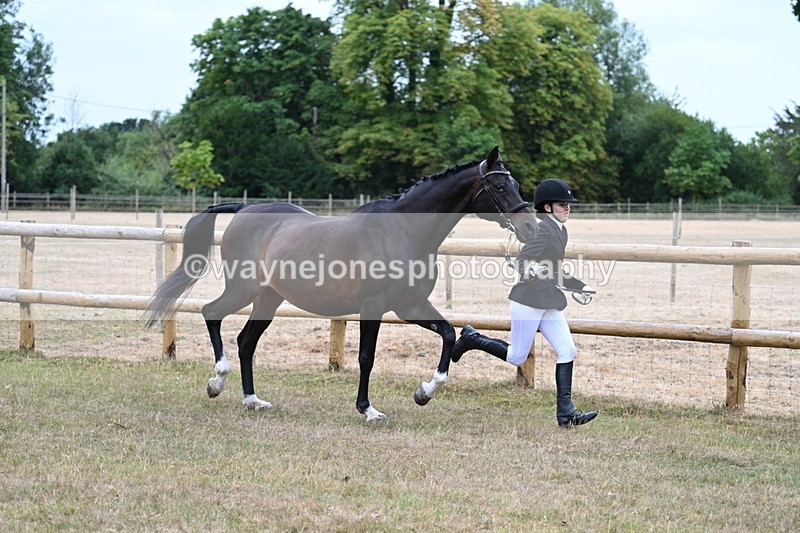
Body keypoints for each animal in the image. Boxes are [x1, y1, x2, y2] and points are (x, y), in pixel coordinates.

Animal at [144, 146, 537, 423]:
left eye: (516, 185)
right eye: (499, 185)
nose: (531, 227)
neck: (402, 231)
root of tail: (243, 210)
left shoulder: (409, 306)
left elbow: (449, 334)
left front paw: (424, 392)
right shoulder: (373, 307)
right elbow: (366, 357)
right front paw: (368, 409)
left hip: (268, 299)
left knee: (245, 342)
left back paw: (252, 400)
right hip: (244, 290)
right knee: (212, 313)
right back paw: (217, 382)